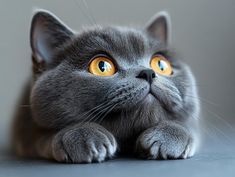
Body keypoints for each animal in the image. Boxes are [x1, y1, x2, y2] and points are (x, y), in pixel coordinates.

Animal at [11, 9, 200, 163]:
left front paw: (169, 137)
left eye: (160, 64)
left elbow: (189, 127)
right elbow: (41, 138)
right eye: (102, 66)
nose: (148, 73)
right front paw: (82, 136)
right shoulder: (25, 131)